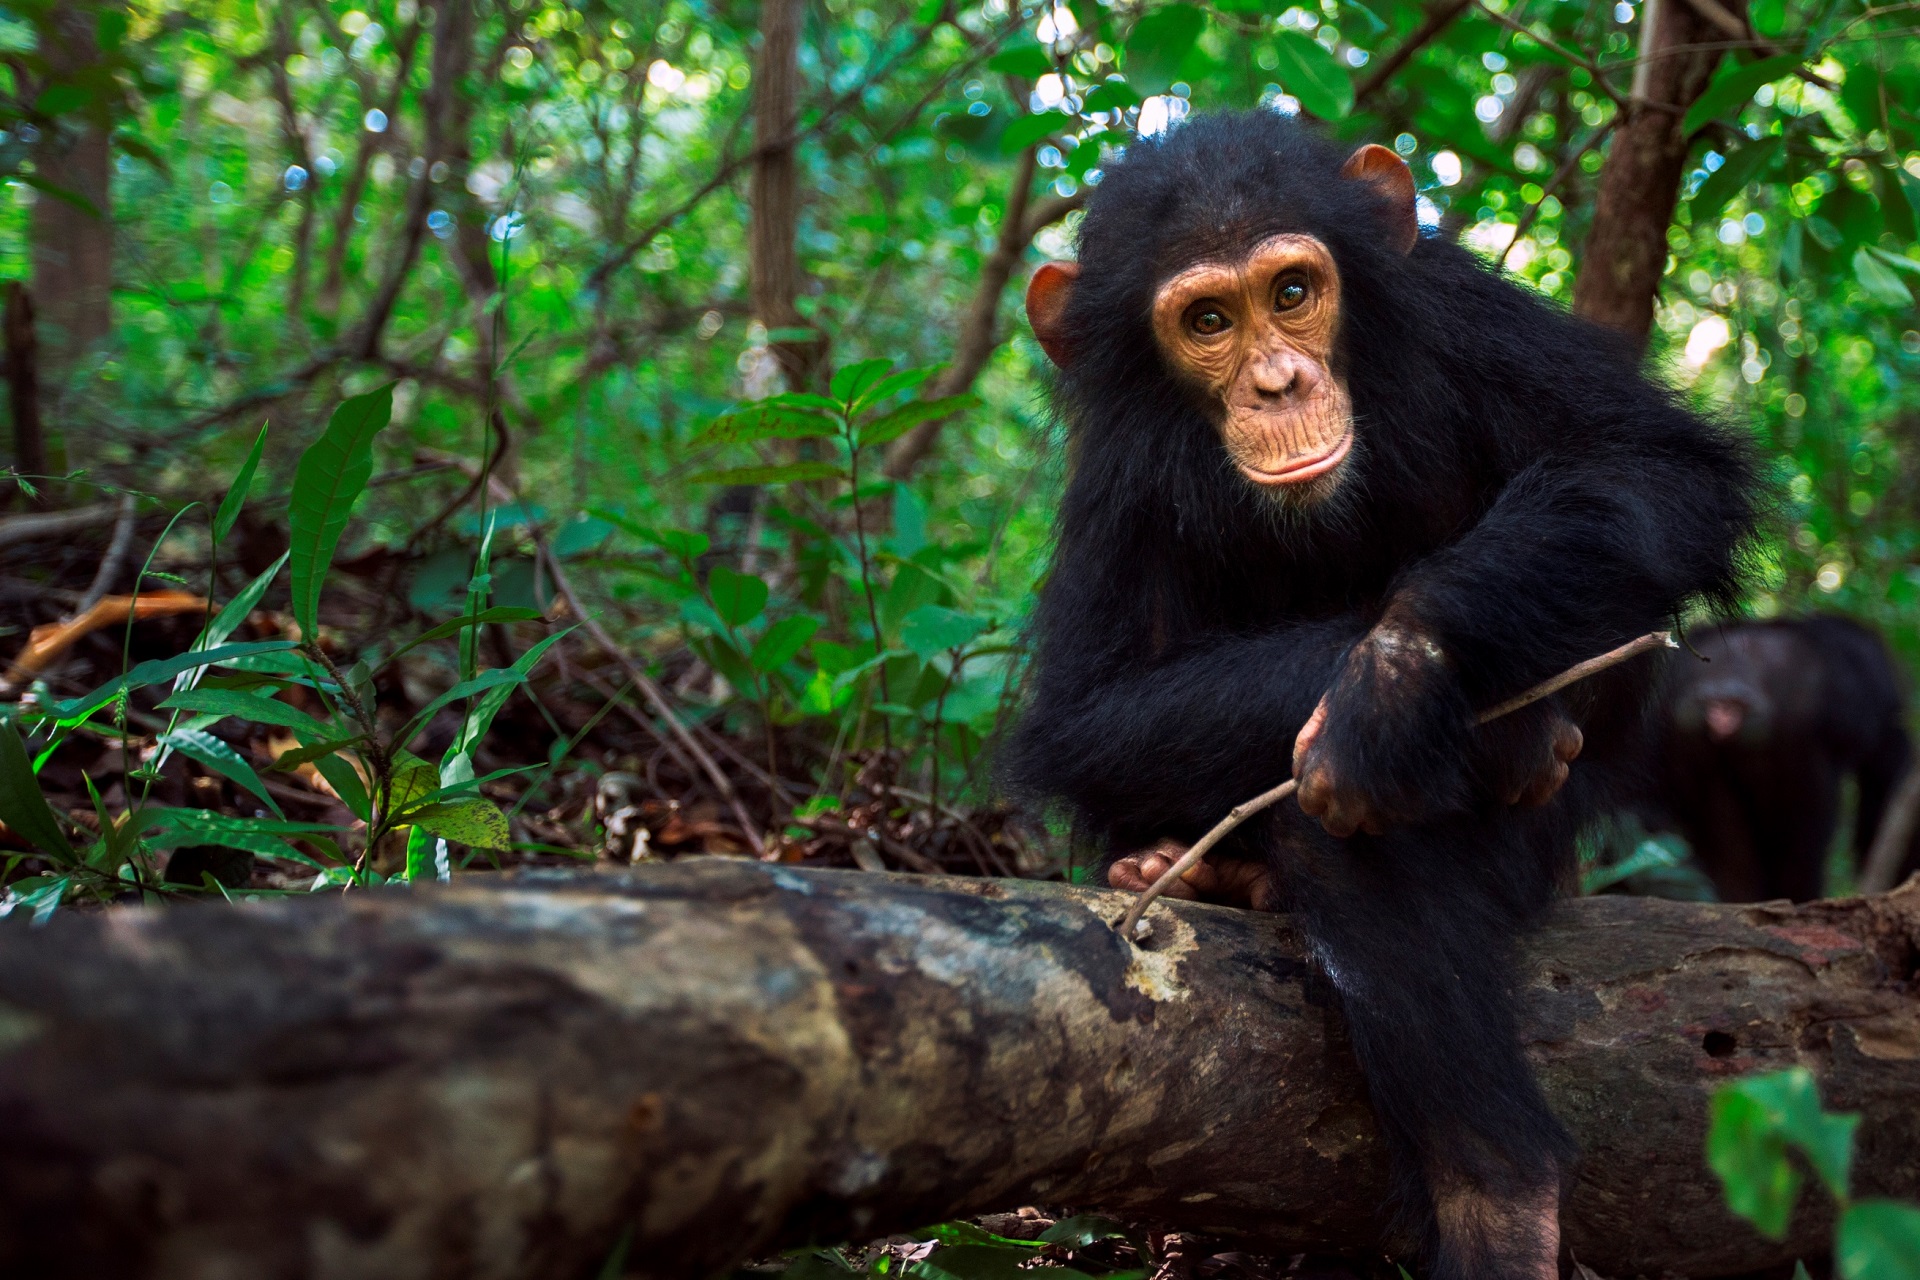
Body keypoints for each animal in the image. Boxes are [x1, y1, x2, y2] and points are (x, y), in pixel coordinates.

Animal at [1006, 112, 1758, 1280]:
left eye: (1293, 292)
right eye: (1207, 320)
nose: (1276, 381)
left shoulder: (1472, 320)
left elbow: (1650, 469)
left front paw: (1392, 680)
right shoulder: (1114, 476)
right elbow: (1093, 712)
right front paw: (1407, 694)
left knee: (1343, 812)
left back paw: (1501, 1200)